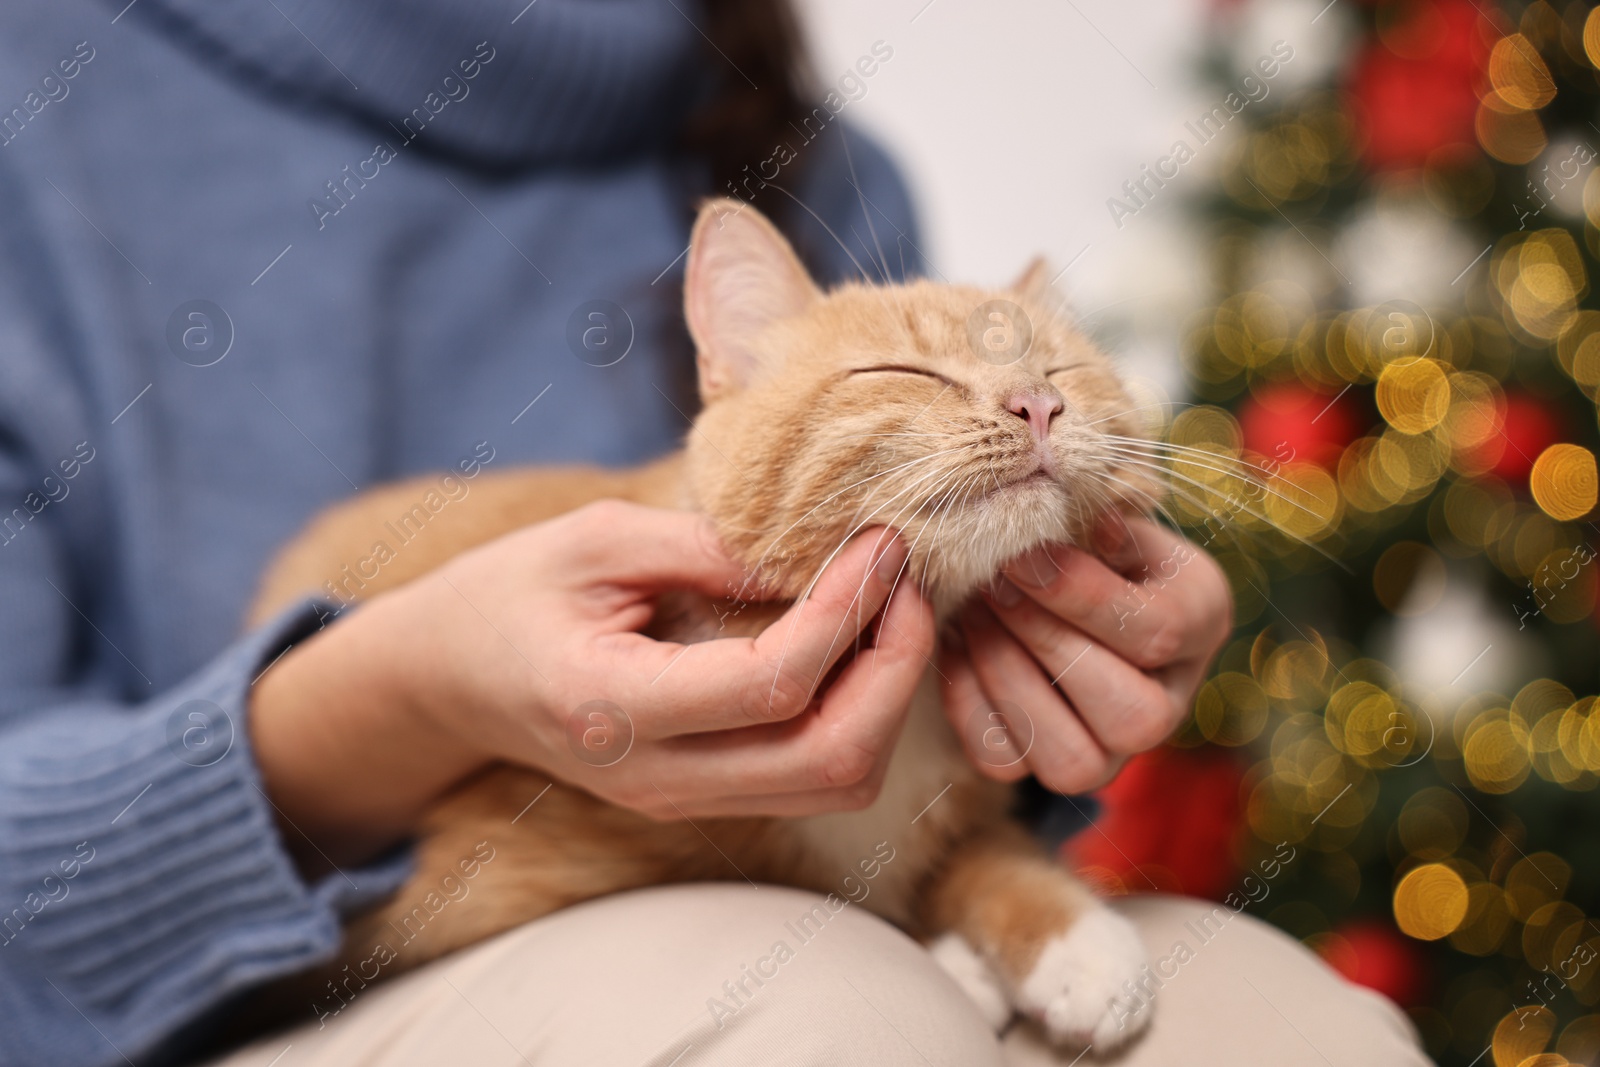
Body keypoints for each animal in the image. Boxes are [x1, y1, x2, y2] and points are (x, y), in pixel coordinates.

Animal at [256, 199, 1171, 1049]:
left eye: (1062, 367)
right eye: (906, 371)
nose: (1039, 404)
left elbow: (991, 850)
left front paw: (1074, 938)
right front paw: (949, 958)